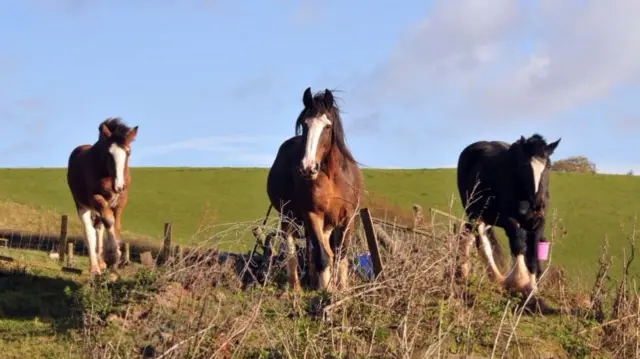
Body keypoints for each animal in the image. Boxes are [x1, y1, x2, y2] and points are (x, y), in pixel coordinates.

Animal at [67, 118, 138, 276]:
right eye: (109, 154)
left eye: (128, 152)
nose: (119, 186)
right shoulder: (96, 198)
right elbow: (109, 221)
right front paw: (113, 256)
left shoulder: (120, 202)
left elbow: (115, 225)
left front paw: (114, 263)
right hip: (82, 205)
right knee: (89, 232)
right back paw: (94, 267)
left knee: (99, 228)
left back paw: (100, 263)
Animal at [266, 88, 364, 292]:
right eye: (304, 125)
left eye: (327, 126)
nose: (308, 167)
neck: (333, 177)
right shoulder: (312, 215)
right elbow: (322, 256)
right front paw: (325, 290)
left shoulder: (348, 216)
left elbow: (340, 254)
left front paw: (341, 288)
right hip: (288, 217)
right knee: (292, 248)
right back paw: (296, 287)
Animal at [456, 134, 560, 300]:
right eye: (525, 166)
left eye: (548, 166)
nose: (538, 205)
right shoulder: (511, 222)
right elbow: (518, 246)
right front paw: (520, 283)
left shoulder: (538, 223)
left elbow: (532, 255)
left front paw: (533, 289)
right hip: (475, 214)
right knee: (481, 240)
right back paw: (494, 277)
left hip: (487, 218)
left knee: (468, 233)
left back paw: (464, 273)